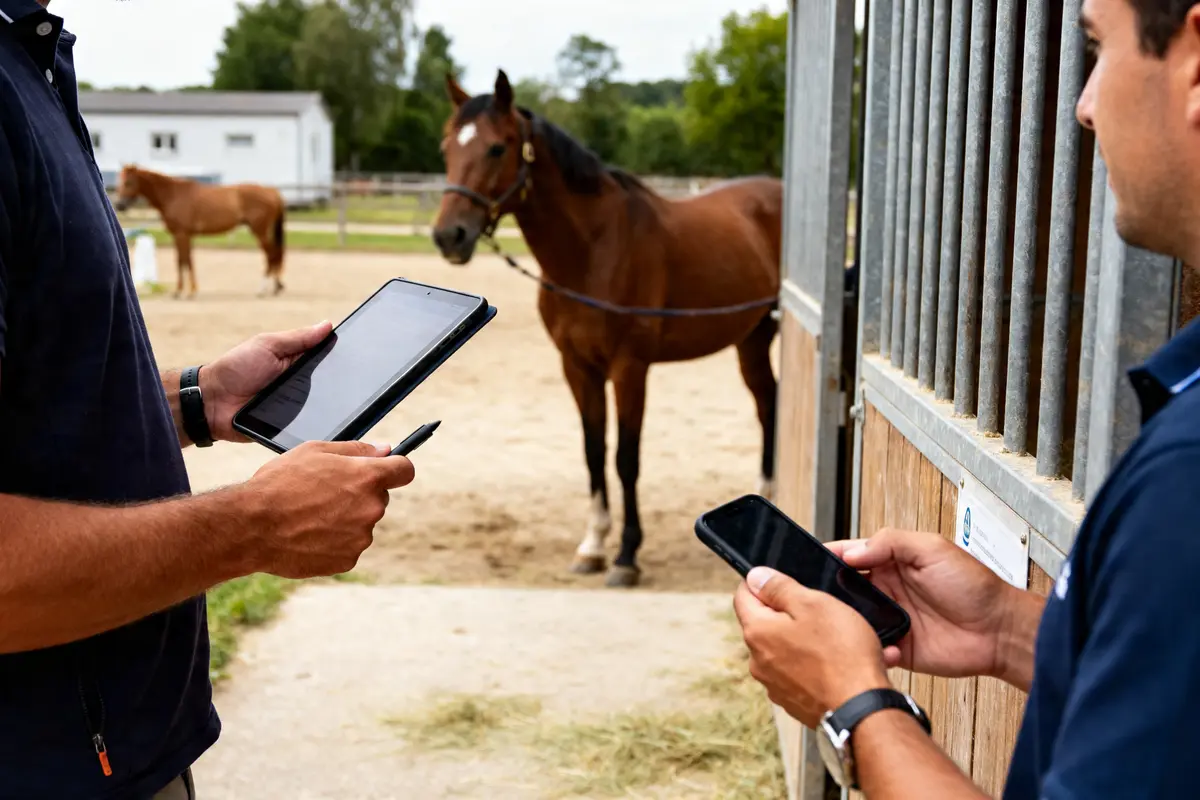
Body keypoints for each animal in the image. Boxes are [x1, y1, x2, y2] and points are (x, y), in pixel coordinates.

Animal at [113, 165, 287, 299]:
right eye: (119, 181)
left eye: (128, 182)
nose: (119, 205)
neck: (173, 195)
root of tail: (272, 192)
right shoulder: (183, 236)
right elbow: (184, 260)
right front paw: (187, 290)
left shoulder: (182, 235)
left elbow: (184, 261)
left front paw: (184, 292)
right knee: (275, 255)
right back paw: (276, 287)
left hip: (260, 231)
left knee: (271, 255)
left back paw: (262, 290)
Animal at [432, 70, 783, 588]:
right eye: (446, 147)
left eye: (497, 147)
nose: (448, 236)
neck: (592, 251)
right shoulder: (578, 367)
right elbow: (593, 451)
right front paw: (593, 546)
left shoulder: (629, 368)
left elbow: (625, 458)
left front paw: (626, 555)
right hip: (751, 341)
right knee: (766, 403)